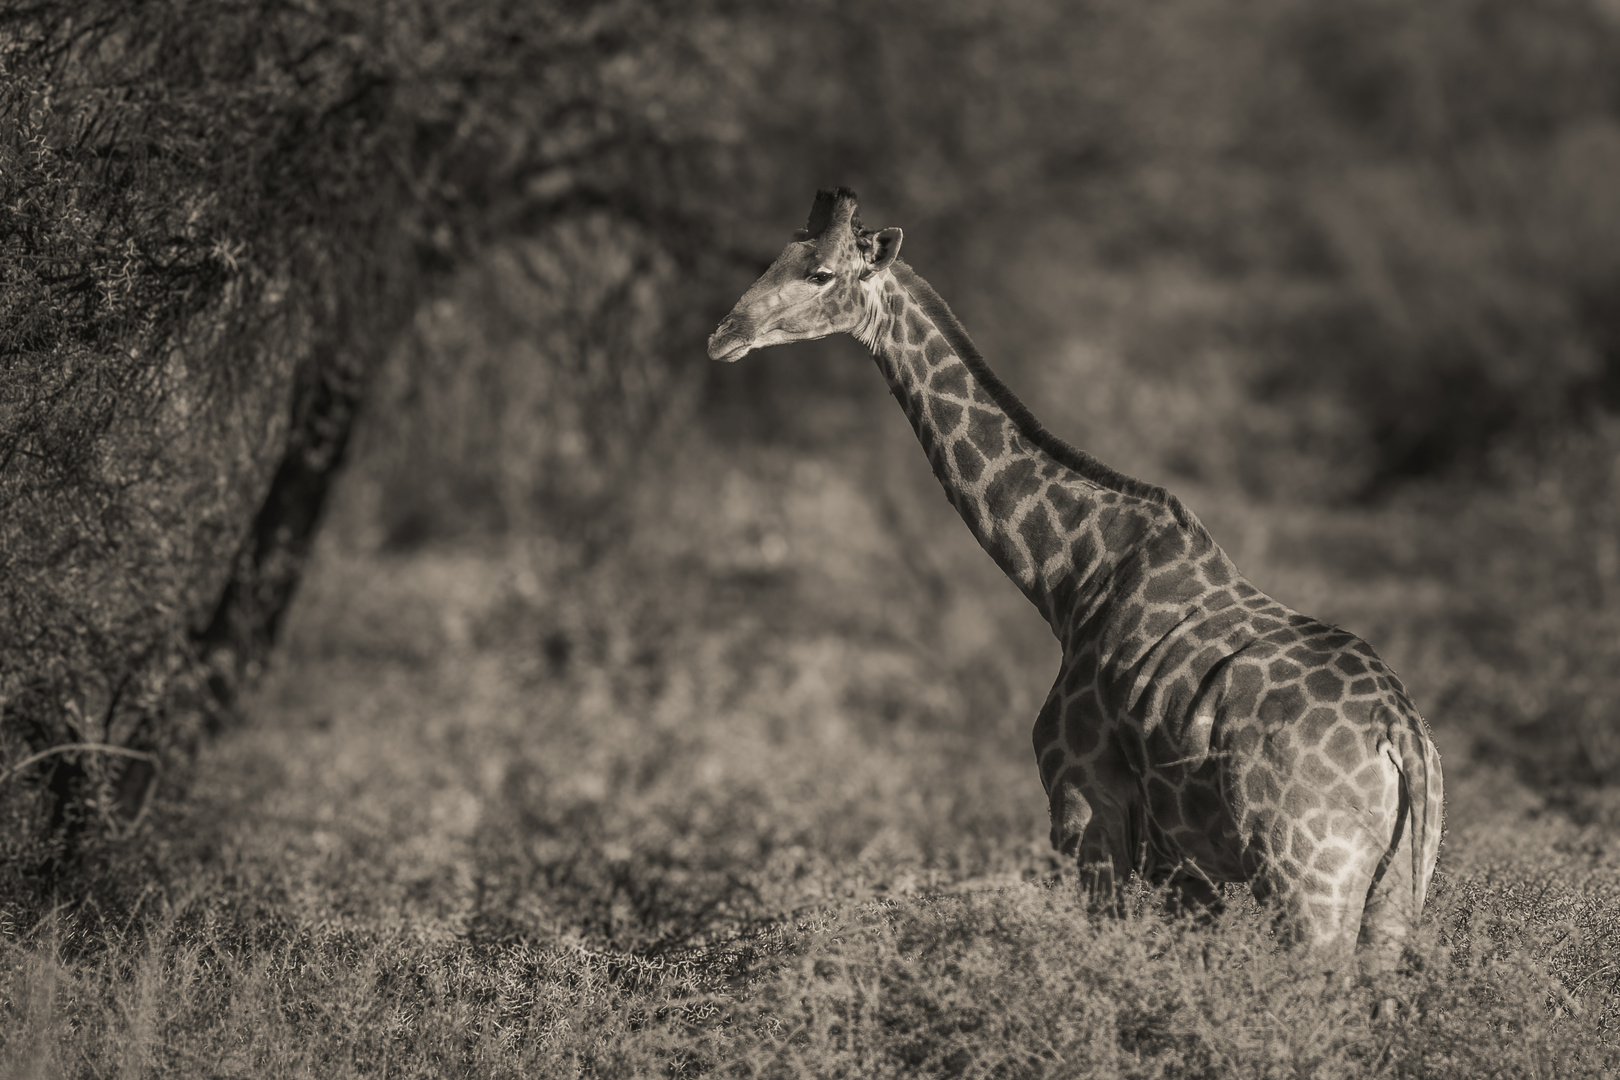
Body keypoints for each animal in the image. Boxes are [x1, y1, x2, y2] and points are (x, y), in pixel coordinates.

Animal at [709, 187, 1445, 952]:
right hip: (1391, 894)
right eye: (776, 255)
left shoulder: (1083, 804)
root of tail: (1404, 742)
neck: (1070, 579)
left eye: (821, 273)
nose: (722, 336)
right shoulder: (1181, 862)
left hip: (1308, 885)